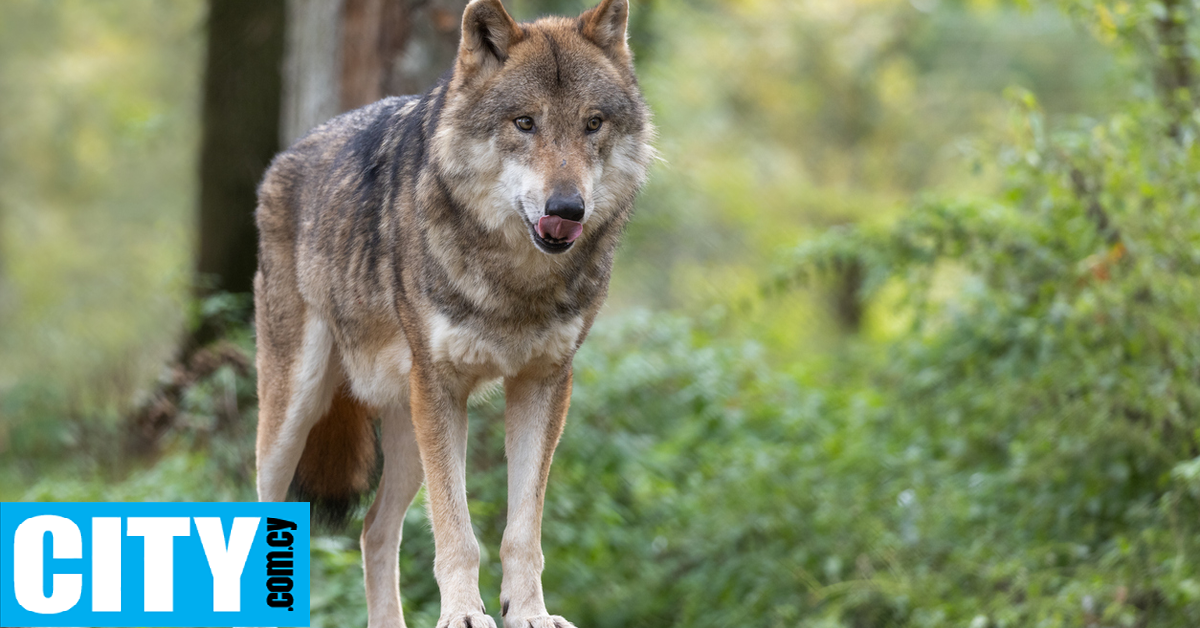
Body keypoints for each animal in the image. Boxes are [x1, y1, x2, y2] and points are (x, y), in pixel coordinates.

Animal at [247, 1, 652, 628]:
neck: (516, 283)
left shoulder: (543, 383)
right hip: (296, 414)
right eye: (524, 123)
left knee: (373, 530)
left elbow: (522, 532)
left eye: (593, 123)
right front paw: (463, 614)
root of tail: (283, 158)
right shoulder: (441, 386)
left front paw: (530, 613)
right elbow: (458, 532)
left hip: (406, 430)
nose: (567, 208)